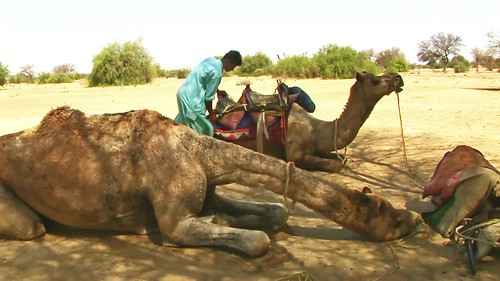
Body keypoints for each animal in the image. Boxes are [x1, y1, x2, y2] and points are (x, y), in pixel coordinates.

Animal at [0, 106, 422, 256]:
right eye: (383, 208)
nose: (414, 219)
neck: (201, 153)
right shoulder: (176, 220)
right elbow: (257, 241)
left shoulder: (210, 190)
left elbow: (276, 213)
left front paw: (224, 218)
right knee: (30, 226)